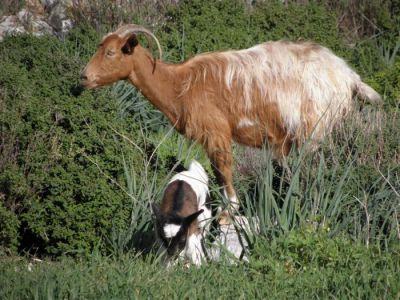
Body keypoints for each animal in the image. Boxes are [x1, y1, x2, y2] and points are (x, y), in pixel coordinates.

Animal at [80, 25, 382, 213]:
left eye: (111, 52)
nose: (83, 77)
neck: (180, 84)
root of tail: (348, 75)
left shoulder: (217, 133)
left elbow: (224, 171)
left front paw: (232, 210)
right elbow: (216, 172)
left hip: (316, 130)